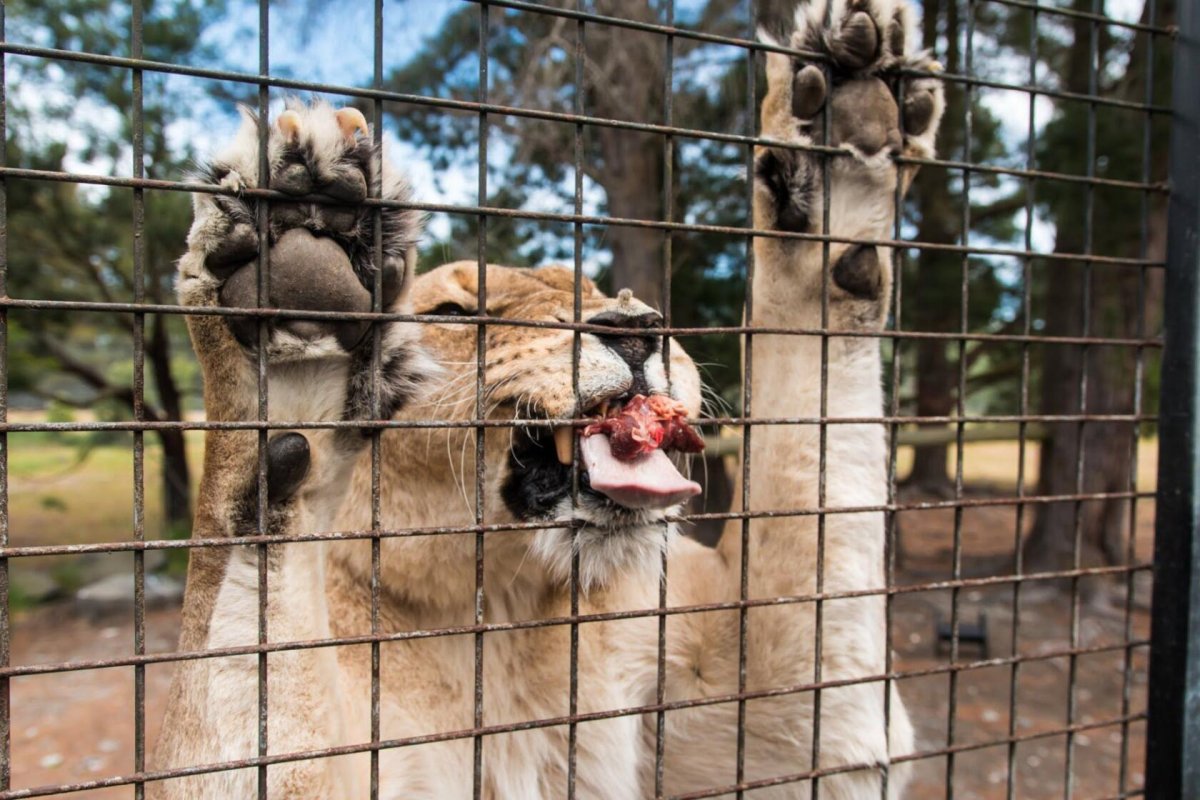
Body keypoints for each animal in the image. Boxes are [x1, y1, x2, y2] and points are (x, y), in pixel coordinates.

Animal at [147, 3, 936, 796]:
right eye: (454, 314)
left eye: (599, 289)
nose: (636, 330)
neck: (507, 612)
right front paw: (286, 307)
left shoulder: (794, 723)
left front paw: (845, 124)